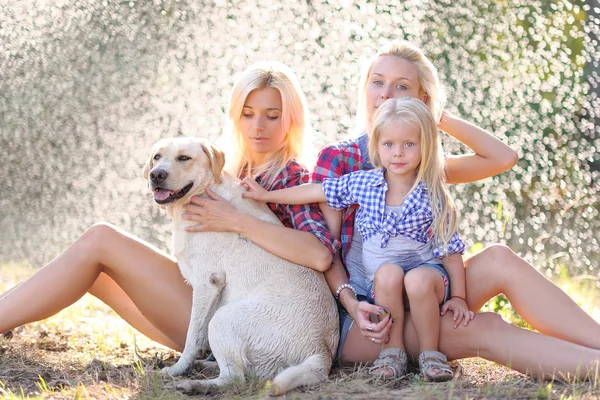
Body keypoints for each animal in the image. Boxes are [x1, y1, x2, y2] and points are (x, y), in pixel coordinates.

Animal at [141, 138, 338, 396]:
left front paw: (178, 369)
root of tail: (322, 351)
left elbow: (192, 335)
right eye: (157, 157)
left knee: (234, 379)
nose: (156, 174)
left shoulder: (208, 282)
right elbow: (198, 336)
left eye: (184, 158)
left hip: (223, 319)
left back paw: (194, 384)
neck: (203, 192)